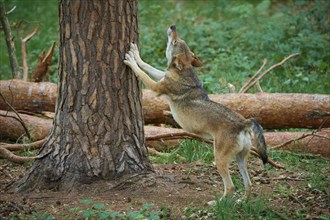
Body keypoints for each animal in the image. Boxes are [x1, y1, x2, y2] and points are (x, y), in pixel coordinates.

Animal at [124, 24, 268, 200]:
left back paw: (217, 203)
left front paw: (130, 60)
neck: (184, 71)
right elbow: (147, 65)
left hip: (219, 159)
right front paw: (135, 53)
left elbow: (141, 72)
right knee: (249, 185)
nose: (173, 26)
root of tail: (243, 122)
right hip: (240, 159)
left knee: (230, 186)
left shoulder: (156, 87)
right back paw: (242, 202)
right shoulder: (162, 76)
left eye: (175, 41)